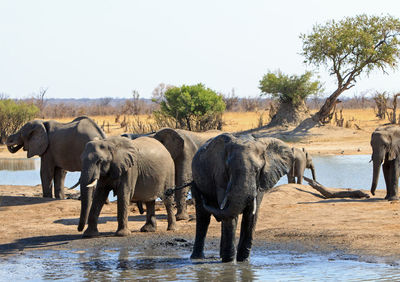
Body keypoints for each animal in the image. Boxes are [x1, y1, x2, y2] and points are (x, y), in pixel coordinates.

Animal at [189, 134, 292, 262]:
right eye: (229, 169)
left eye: (257, 170)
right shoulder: (220, 175)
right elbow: (231, 215)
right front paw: (229, 262)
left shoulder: (261, 181)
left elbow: (251, 215)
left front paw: (243, 261)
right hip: (196, 181)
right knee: (203, 218)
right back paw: (197, 258)